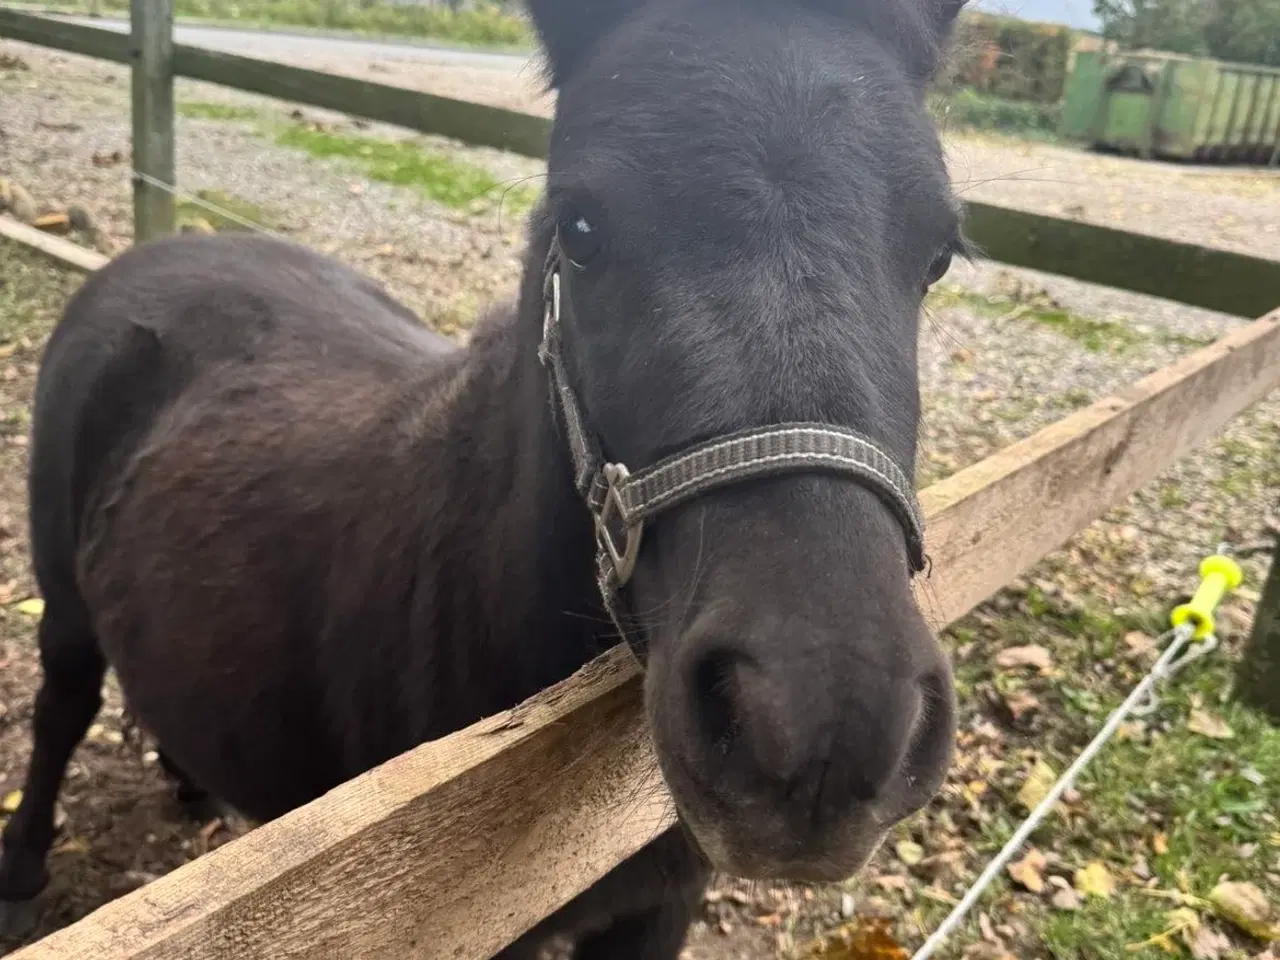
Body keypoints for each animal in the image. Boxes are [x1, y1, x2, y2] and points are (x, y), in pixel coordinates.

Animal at [0, 0, 969, 954]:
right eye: (581, 227)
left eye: (940, 254)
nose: (824, 726)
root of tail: (159, 252)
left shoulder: (659, 909)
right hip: (64, 604)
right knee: (62, 704)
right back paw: (24, 872)